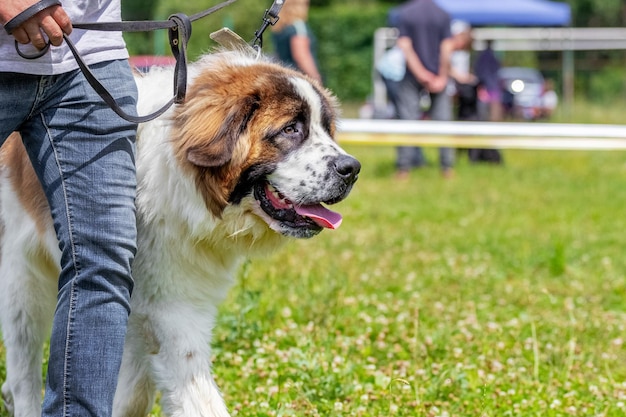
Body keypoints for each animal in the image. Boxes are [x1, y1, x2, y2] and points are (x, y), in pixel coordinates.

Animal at [0, 49, 358, 416]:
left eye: (326, 130)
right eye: (290, 129)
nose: (352, 169)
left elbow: (135, 389)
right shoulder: (170, 305)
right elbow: (197, 391)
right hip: (22, 279)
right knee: (24, 357)